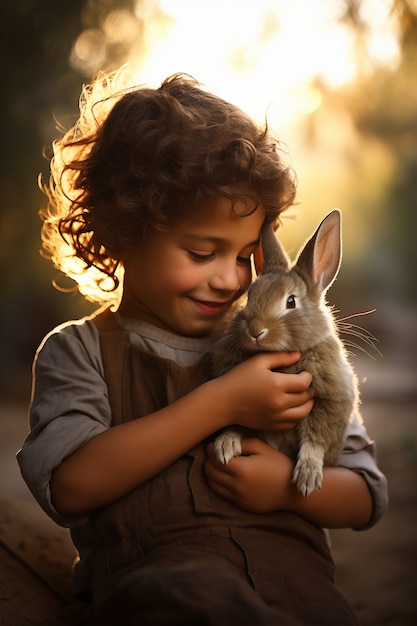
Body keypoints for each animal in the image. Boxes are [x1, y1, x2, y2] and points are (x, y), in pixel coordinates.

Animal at [211, 210, 358, 492]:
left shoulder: (331, 402)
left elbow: (315, 439)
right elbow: (237, 422)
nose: (256, 330)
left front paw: (308, 477)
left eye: (291, 302)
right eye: (249, 297)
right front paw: (225, 446)